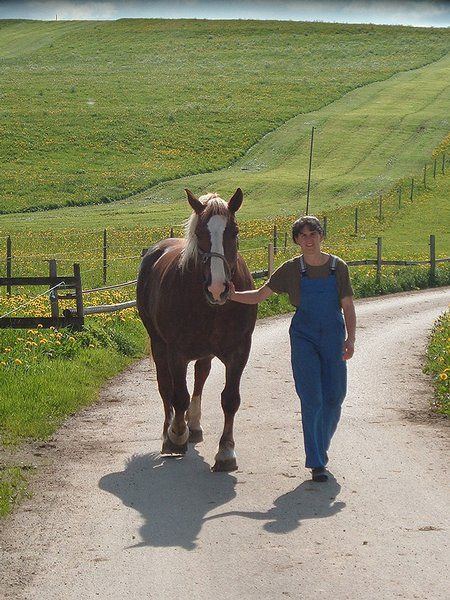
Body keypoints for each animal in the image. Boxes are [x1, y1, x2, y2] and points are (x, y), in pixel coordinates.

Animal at [135, 186, 256, 468]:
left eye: (234, 232)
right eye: (200, 233)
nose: (217, 288)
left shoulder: (239, 351)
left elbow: (230, 399)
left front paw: (226, 451)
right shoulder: (176, 352)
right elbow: (178, 394)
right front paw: (177, 435)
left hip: (205, 353)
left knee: (201, 377)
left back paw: (196, 426)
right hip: (159, 345)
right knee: (165, 387)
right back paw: (170, 432)